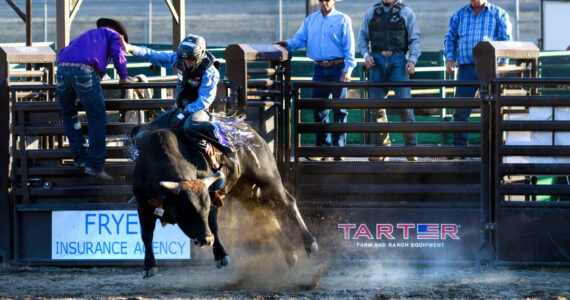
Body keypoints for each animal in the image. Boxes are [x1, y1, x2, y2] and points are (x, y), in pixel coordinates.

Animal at [133, 126, 318, 276]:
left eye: (206, 207)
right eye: (185, 209)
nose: (206, 239)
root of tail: (249, 131)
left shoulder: (212, 196)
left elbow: (213, 225)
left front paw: (221, 256)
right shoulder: (142, 204)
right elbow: (146, 234)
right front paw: (149, 267)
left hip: (268, 177)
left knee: (288, 203)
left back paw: (310, 244)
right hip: (246, 192)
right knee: (265, 216)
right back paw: (291, 255)